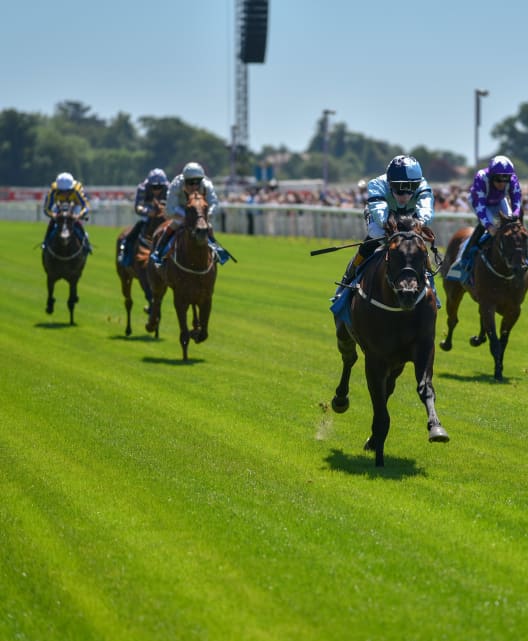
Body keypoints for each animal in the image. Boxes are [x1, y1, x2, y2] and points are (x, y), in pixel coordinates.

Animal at [117, 199, 167, 340]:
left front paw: (155, 321)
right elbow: (150, 295)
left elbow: (158, 299)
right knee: (128, 301)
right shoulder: (141, 274)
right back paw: (128, 329)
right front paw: (149, 312)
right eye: (161, 217)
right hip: (124, 276)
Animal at [144, 190, 217, 360]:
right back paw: (152, 323)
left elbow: (204, 333)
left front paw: (196, 332)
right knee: (157, 299)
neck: (196, 263)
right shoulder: (180, 296)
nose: (202, 231)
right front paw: (185, 351)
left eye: (206, 206)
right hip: (158, 281)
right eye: (188, 208)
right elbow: (183, 332)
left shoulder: (206, 295)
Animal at [332, 218, 448, 468]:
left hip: (397, 363)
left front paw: (436, 428)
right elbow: (380, 406)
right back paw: (340, 399)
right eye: (392, 253)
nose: (408, 292)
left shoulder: (424, 346)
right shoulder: (375, 357)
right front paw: (379, 457)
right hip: (343, 332)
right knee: (349, 358)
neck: (399, 312)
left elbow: (425, 388)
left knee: (389, 387)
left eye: (422, 252)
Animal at [438, 215, 528, 380]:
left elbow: (503, 341)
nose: (520, 268)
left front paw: (499, 367)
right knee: (453, 319)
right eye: (505, 237)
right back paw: (446, 344)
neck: (504, 274)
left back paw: (478, 339)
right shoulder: (488, 304)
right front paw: (498, 372)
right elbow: (495, 342)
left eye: (525, 236)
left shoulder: (514, 310)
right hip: (453, 293)